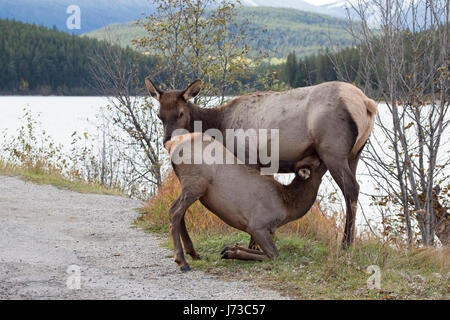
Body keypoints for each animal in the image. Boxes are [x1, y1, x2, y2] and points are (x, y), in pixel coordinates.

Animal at [147, 78, 376, 248]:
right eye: (159, 115)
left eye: (181, 113)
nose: (168, 141)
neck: (219, 127)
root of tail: (368, 104)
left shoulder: (248, 156)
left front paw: (252, 245)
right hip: (354, 153)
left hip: (333, 150)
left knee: (351, 188)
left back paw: (346, 244)